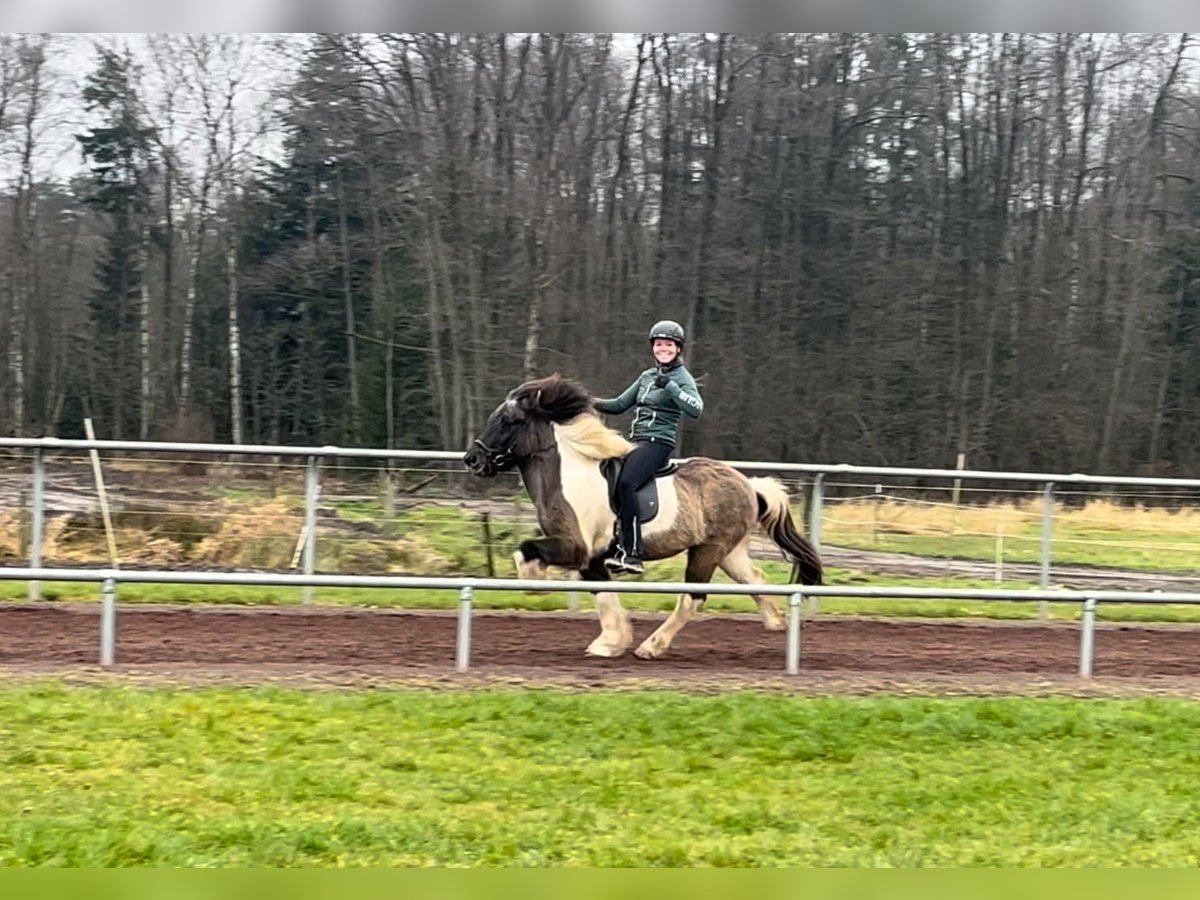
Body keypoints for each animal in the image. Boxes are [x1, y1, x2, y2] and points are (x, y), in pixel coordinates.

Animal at [460, 374, 825, 662]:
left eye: (510, 421)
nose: (473, 459)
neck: (568, 475)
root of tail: (748, 484)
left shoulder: (575, 547)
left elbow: (526, 549)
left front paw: (535, 585)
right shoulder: (592, 556)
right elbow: (602, 593)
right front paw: (610, 642)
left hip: (707, 552)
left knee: (693, 598)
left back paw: (652, 647)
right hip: (728, 553)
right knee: (755, 579)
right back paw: (776, 623)